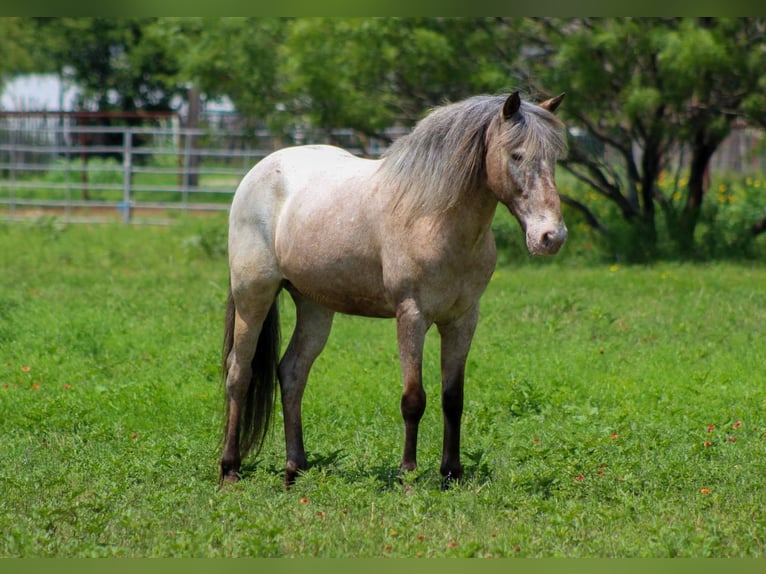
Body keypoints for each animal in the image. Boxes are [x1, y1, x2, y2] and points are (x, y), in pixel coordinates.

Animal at [220, 91, 568, 487]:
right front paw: (408, 476)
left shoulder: (462, 319)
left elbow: (453, 398)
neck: (435, 218)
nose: (552, 237)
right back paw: (230, 469)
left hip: (314, 306)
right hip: (253, 295)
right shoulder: (412, 316)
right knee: (239, 373)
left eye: (554, 159)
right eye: (516, 155)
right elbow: (413, 399)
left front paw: (452, 473)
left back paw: (295, 469)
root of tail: (257, 172)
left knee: (292, 373)